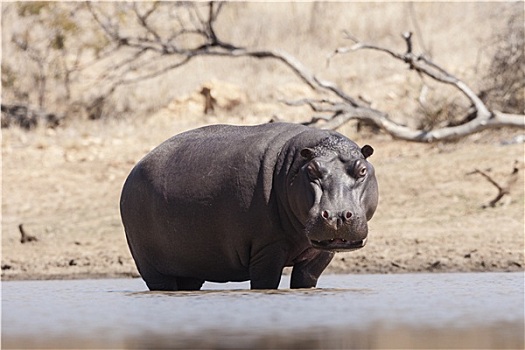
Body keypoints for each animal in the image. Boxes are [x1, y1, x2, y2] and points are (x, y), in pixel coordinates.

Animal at [119, 121, 376, 292]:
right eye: (312, 170)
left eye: (362, 169)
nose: (336, 216)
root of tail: (134, 169)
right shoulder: (267, 249)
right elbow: (265, 283)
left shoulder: (320, 253)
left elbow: (306, 280)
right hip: (150, 264)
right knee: (159, 282)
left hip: (191, 267)